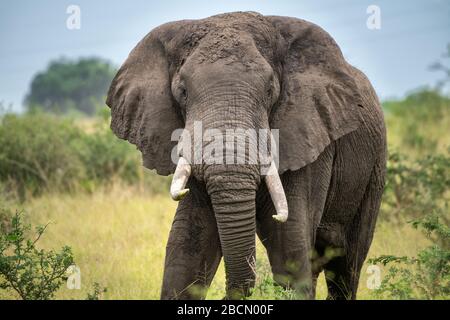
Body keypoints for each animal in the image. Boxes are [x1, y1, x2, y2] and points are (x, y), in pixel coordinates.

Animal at [106, 10, 386, 300]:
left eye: (270, 90)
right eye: (182, 92)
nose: (232, 295)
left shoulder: (309, 136)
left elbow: (289, 247)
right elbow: (188, 246)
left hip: (374, 169)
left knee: (347, 263)